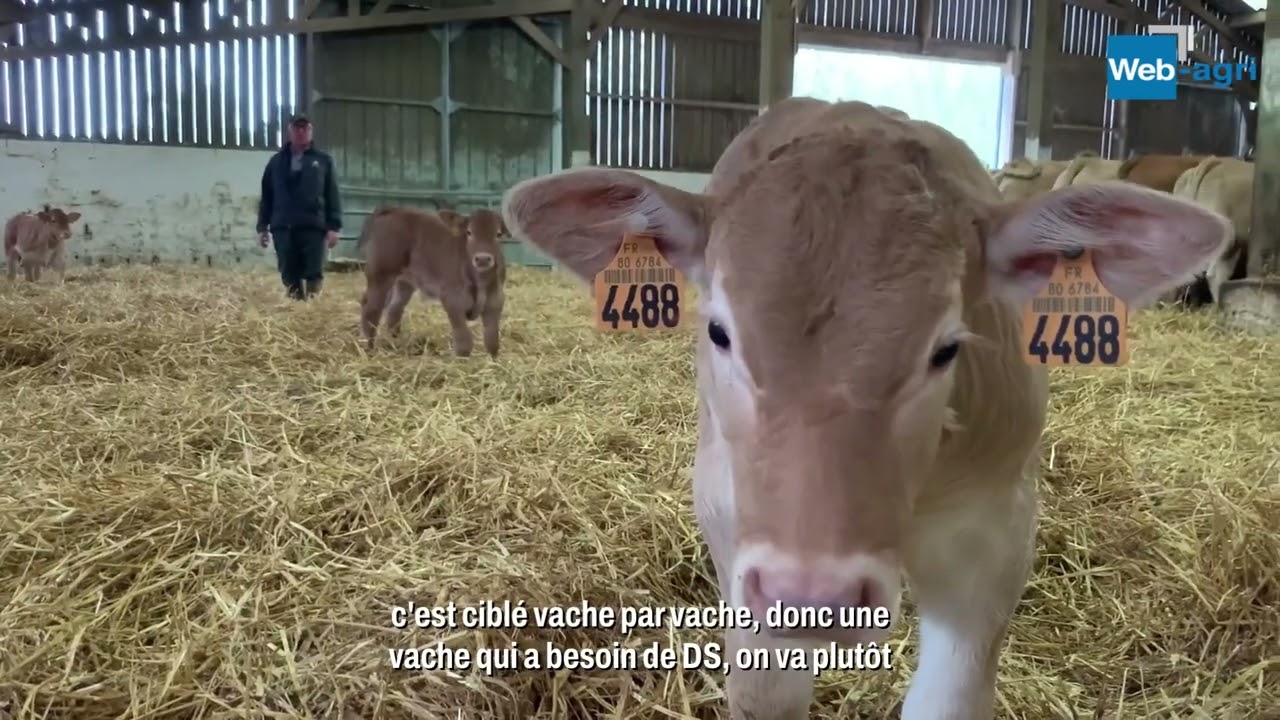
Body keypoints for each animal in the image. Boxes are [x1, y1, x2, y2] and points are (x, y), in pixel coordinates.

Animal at [357, 206, 507, 358]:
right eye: (469, 232)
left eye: (498, 234)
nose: (483, 259)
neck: (480, 280)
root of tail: (394, 209)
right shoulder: (452, 299)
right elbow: (464, 341)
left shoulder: (495, 300)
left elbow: (492, 340)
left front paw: (494, 360)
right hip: (380, 274)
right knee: (371, 309)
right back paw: (369, 349)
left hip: (403, 282)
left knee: (393, 309)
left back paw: (395, 344)